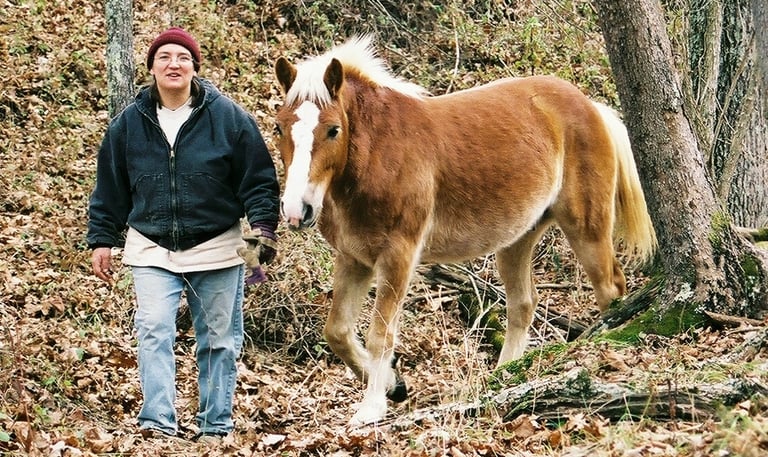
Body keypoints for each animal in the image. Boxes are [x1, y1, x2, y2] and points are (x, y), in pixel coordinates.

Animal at [272, 36, 656, 426]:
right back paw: (502, 378)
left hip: (586, 228)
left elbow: (380, 334)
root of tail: (591, 106)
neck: (378, 154)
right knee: (523, 305)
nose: (296, 209)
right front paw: (394, 385)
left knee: (610, 290)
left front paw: (371, 409)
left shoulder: (397, 257)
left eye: (333, 129)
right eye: (279, 128)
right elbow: (337, 331)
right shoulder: (354, 259)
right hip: (518, 240)